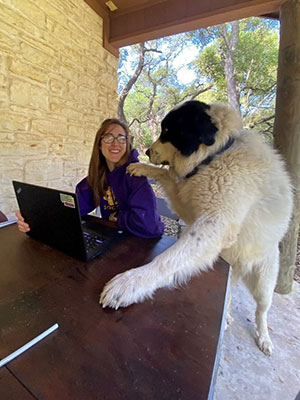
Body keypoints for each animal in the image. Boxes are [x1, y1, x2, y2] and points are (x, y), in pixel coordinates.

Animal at [99, 101, 292, 354]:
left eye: (167, 131)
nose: (148, 151)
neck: (215, 155)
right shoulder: (190, 205)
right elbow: (167, 175)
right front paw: (140, 168)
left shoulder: (213, 224)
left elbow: (167, 260)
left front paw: (129, 284)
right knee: (230, 295)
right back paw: (227, 317)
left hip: (264, 280)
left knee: (262, 310)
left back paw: (264, 339)